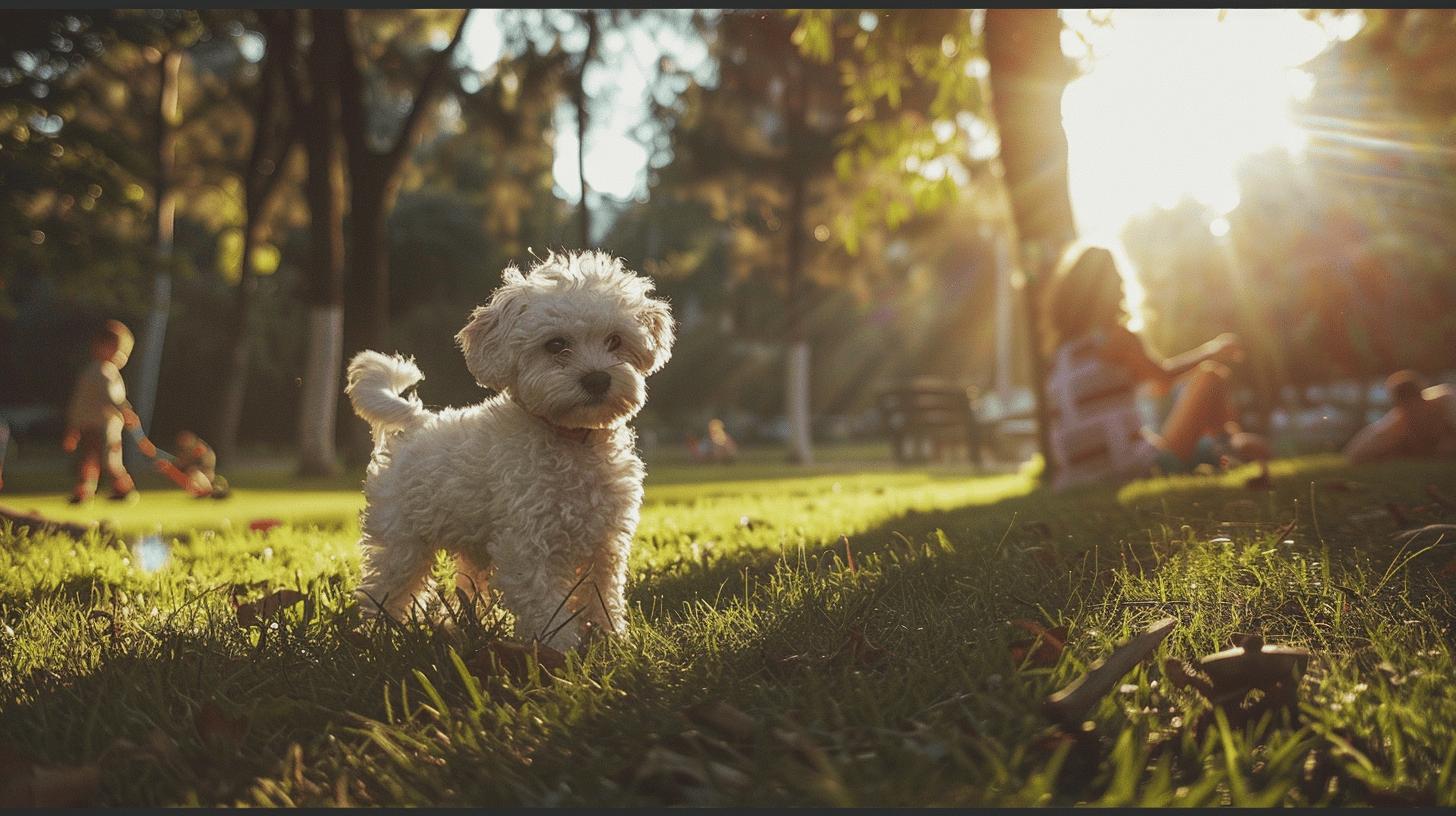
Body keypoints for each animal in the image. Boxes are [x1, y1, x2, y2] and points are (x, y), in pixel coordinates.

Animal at [343, 250, 672, 649]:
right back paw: (378, 636)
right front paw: (559, 651)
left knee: (467, 588)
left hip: (474, 545)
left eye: (615, 340)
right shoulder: (526, 546)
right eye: (556, 345)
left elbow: (602, 593)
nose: (597, 379)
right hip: (402, 542)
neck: (573, 442)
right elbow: (545, 605)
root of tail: (418, 421)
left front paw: (610, 638)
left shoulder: (605, 543)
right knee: (387, 587)